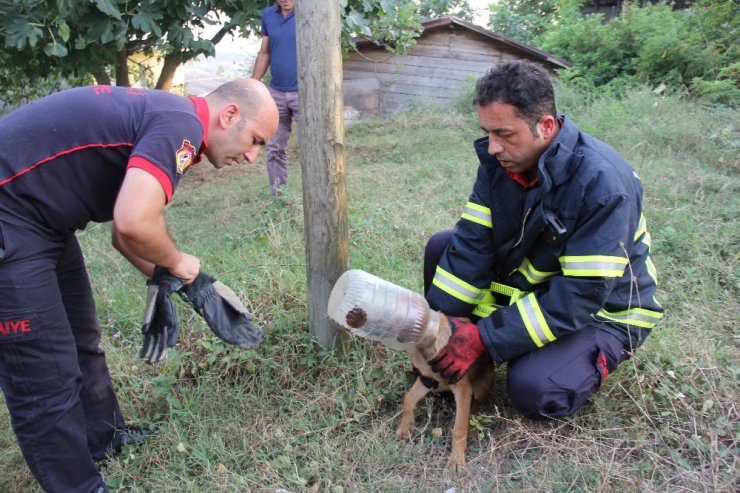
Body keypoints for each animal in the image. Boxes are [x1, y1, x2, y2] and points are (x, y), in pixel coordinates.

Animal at [396, 316, 494, 468]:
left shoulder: (462, 387)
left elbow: (459, 428)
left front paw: (457, 459)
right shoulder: (426, 379)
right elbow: (408, 399)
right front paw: (405, 427)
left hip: (481, 385)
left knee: (479, 401)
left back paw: (471, 413)